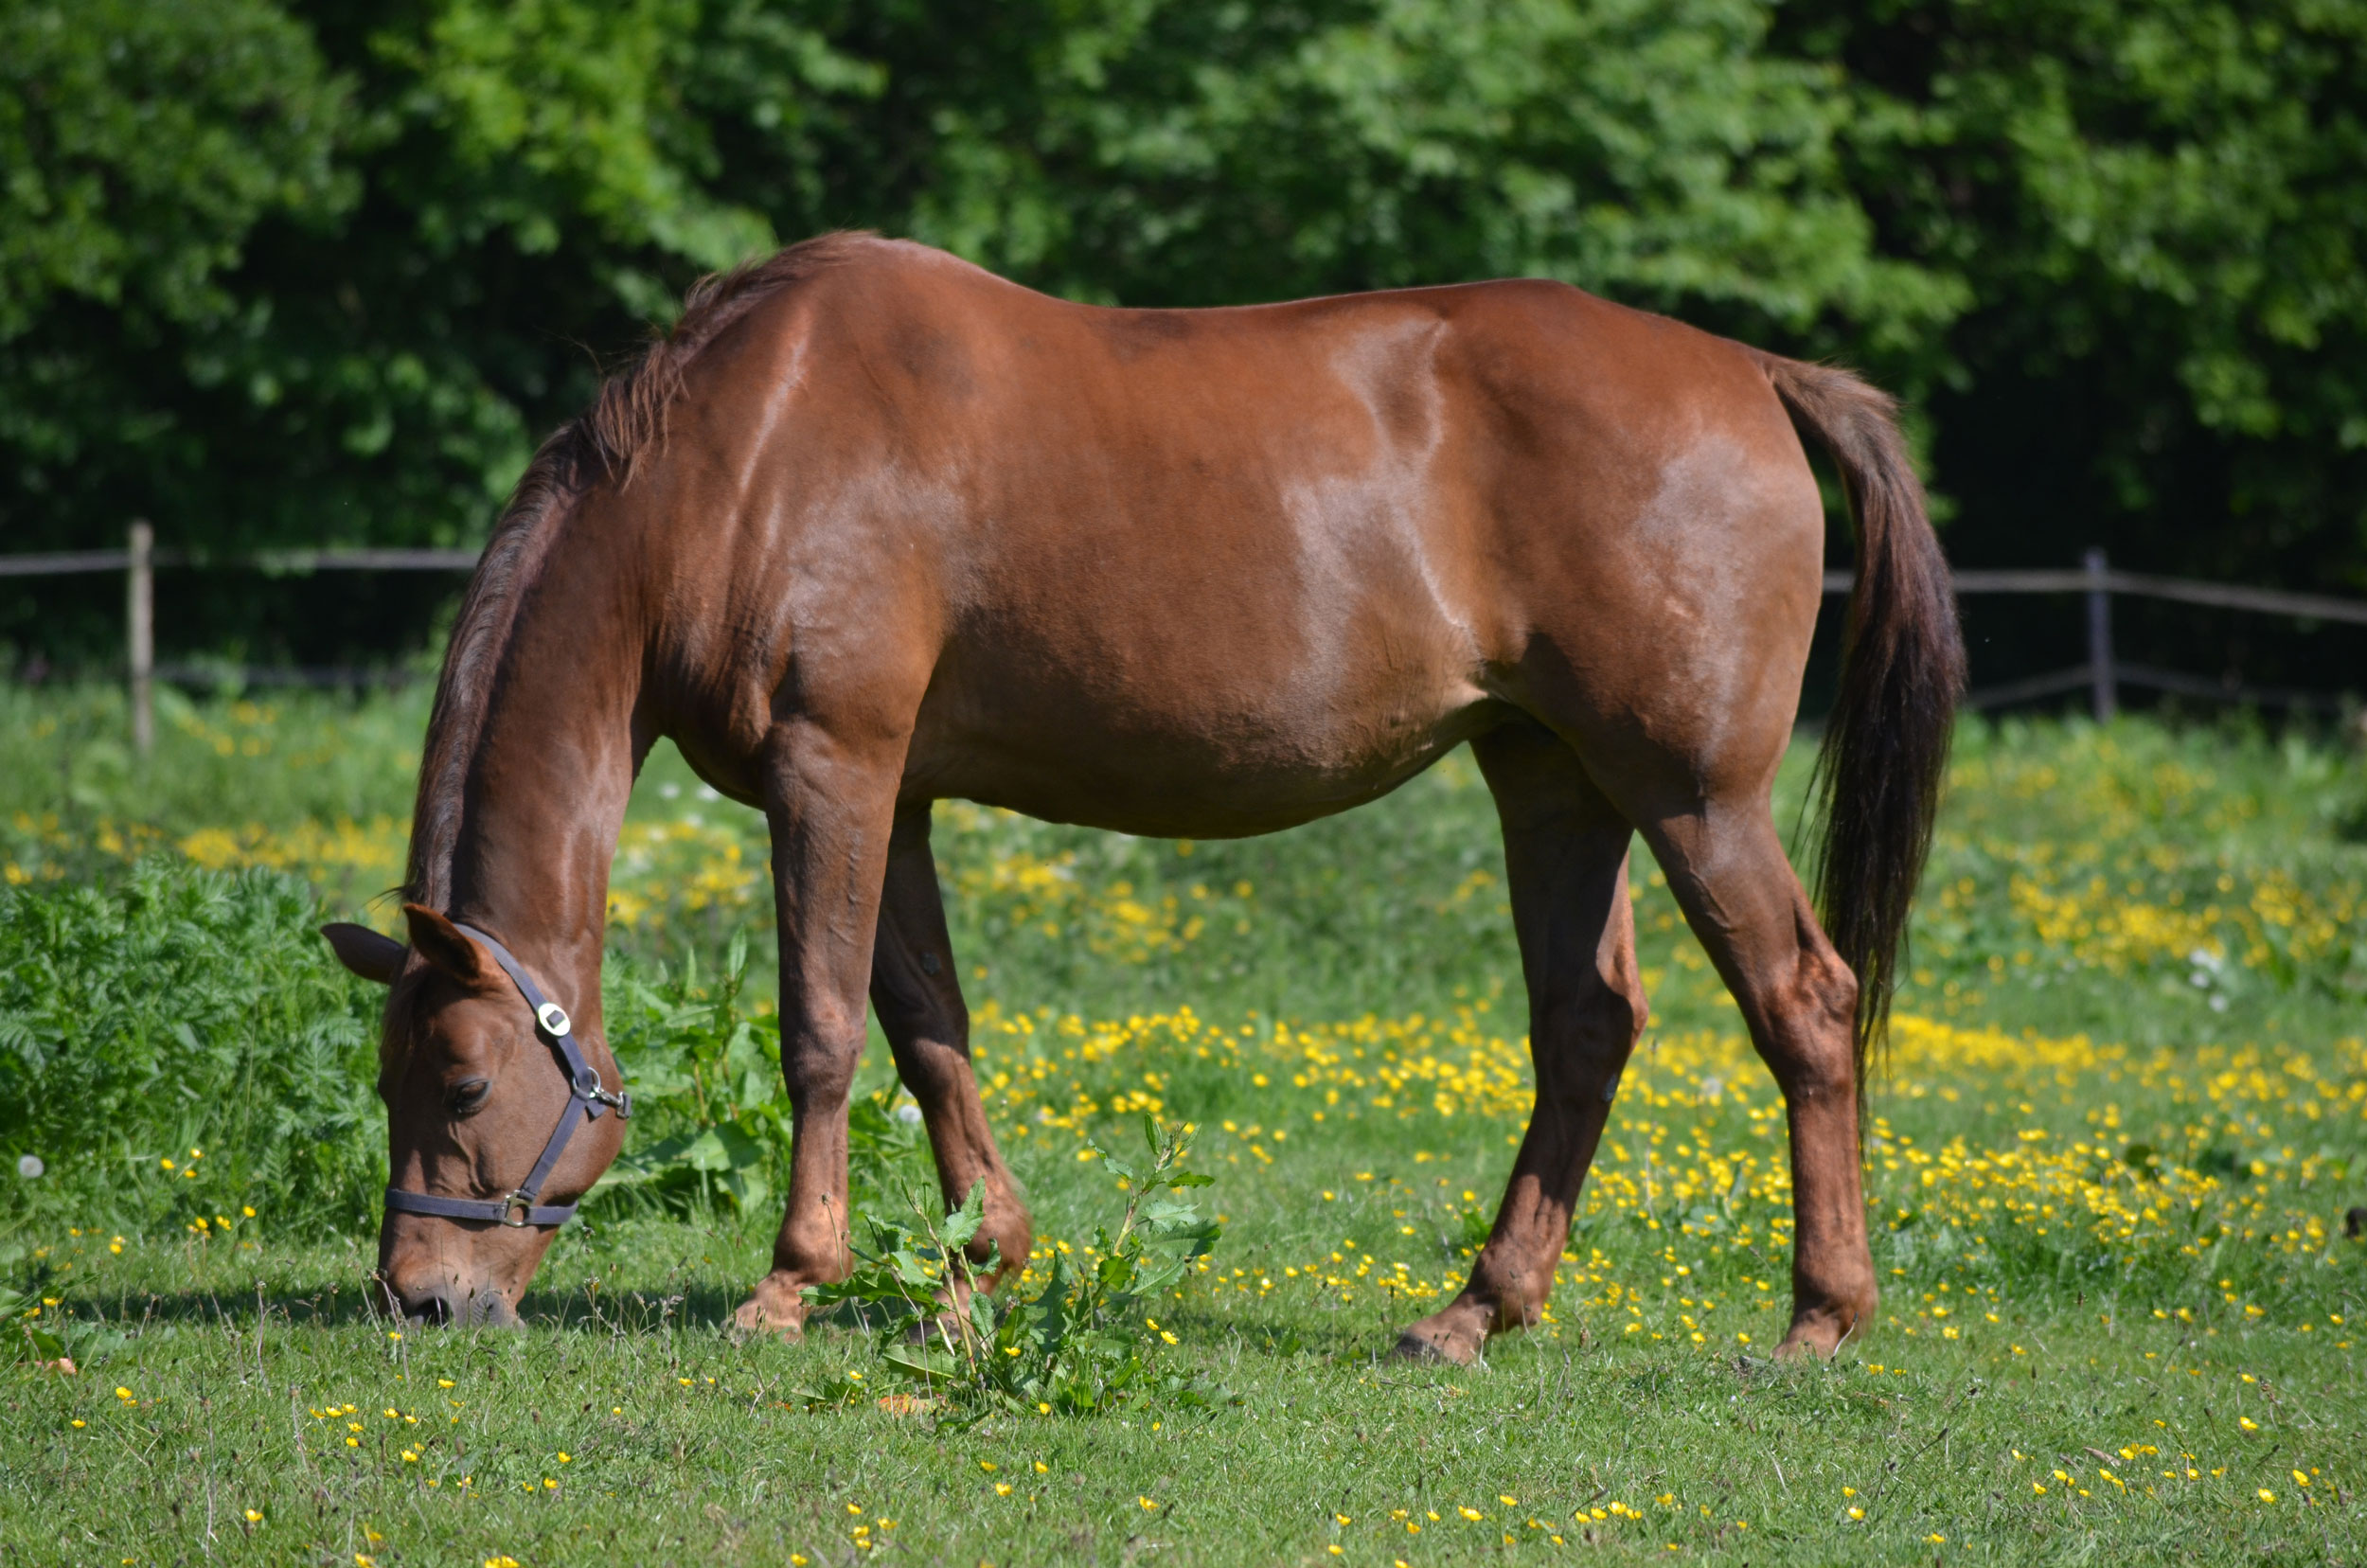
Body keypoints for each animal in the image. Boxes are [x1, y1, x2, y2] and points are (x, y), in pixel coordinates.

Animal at [324, 230, 1969, 1363]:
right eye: (391, 1079)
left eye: (461, 1083)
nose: (422, 1299)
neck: (742, 459)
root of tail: (1751, 373)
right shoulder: (897, 797)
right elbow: (929, 1029)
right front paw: (976, 1273)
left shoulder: (831, 768)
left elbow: (825, 1027)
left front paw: (792, 1287)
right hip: (1556, 783)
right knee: (1586, 1028)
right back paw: (1472, 1313)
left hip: (1696, 797)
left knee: (1804, 1007)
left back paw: (1819, 1320)